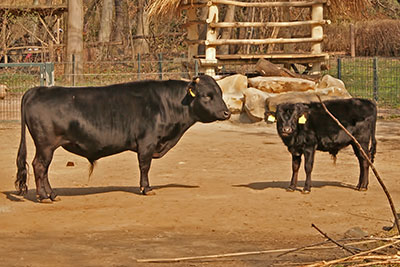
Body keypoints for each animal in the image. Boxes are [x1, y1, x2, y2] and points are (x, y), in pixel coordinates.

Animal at [15, 74, 231, 202]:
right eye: (207, 95)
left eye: (220, 93)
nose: (227, 113)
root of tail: (39, 89)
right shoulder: (147, 143)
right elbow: (144, 166)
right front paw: (146, 188)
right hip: (46, 145)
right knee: (40, 167)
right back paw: (45, 196)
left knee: (42, 168)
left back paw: (52, 195)